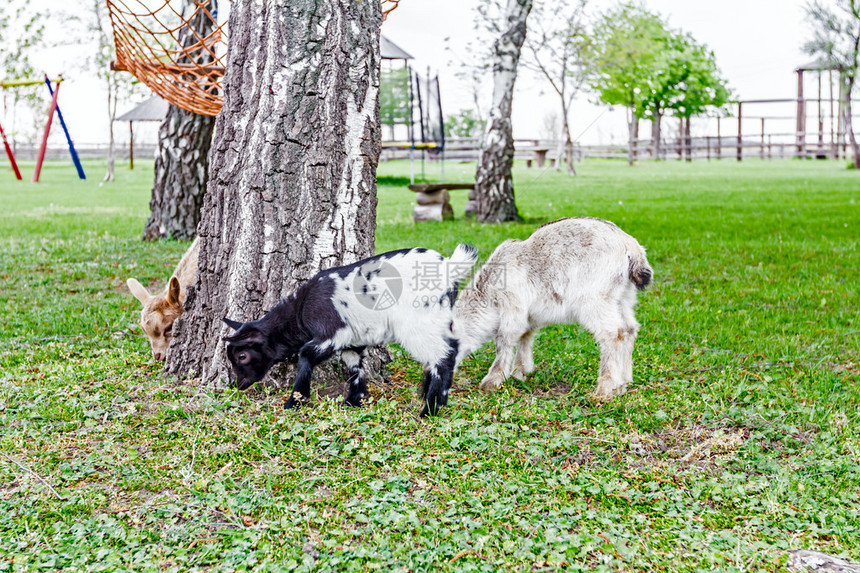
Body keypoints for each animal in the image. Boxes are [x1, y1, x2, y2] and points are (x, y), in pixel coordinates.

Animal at [454, 217, 648, 400]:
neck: (486, 289)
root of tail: (631, 247)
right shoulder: (528, 316)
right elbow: (525, 336)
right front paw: (519, 372)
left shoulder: (512, 305)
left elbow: (505, 339)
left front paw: (492, 381)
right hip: (622, 297)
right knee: (629, 329)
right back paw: (623, 384)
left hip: (595, 299)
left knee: (613, 333)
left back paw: (605, 389)